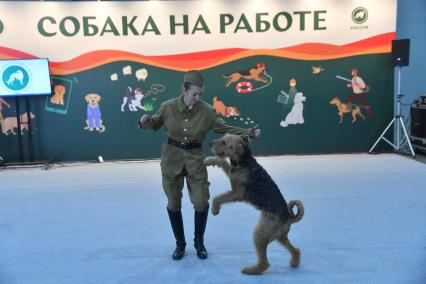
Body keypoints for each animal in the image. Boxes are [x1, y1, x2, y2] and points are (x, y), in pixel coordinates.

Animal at [206, 134, 302, 274]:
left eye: (224, 142)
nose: (209, 144)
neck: (244, 161)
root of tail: (289, 217)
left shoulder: (237, 194)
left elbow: (219, 198)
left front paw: (214, 209)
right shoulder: (231, 173)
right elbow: (223, 162)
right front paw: (209, 161)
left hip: (260, 234)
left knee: (265, 263)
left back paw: (252, 270)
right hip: (280, 236)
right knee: (295, 250)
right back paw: (294, 262)